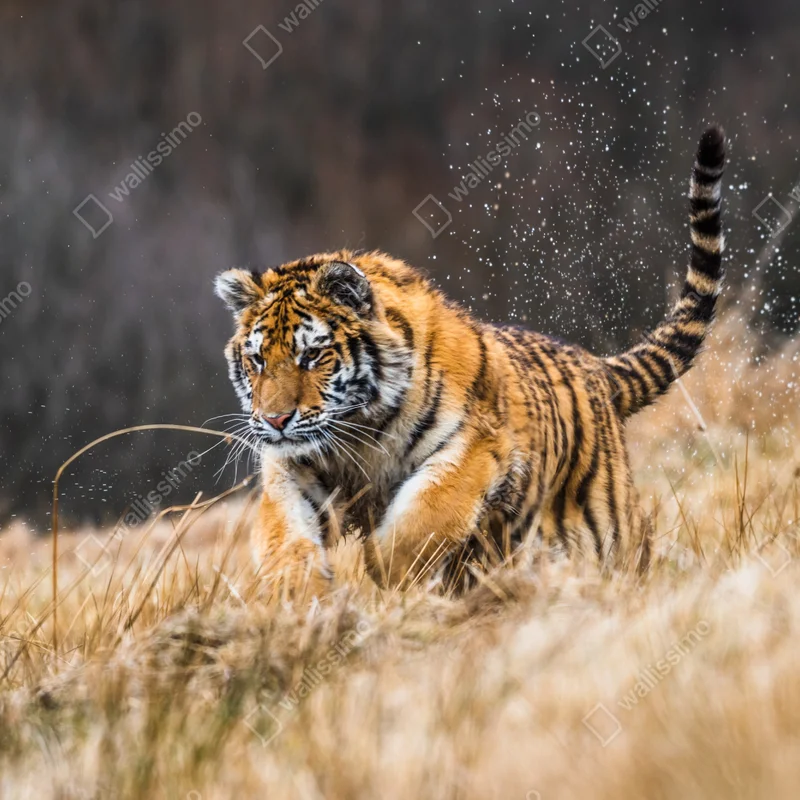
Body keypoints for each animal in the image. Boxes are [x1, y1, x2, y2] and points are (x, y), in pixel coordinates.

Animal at [214, 126, 726, 598]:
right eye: (257, 360)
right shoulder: (292, 466)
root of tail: (596, 368)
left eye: (313, 355)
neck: (359, 432)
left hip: (607, 526)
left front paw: (385, 576)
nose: (275, 420)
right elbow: (284, 534)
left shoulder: (475, 448)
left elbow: (424, 519)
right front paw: (299, 597)